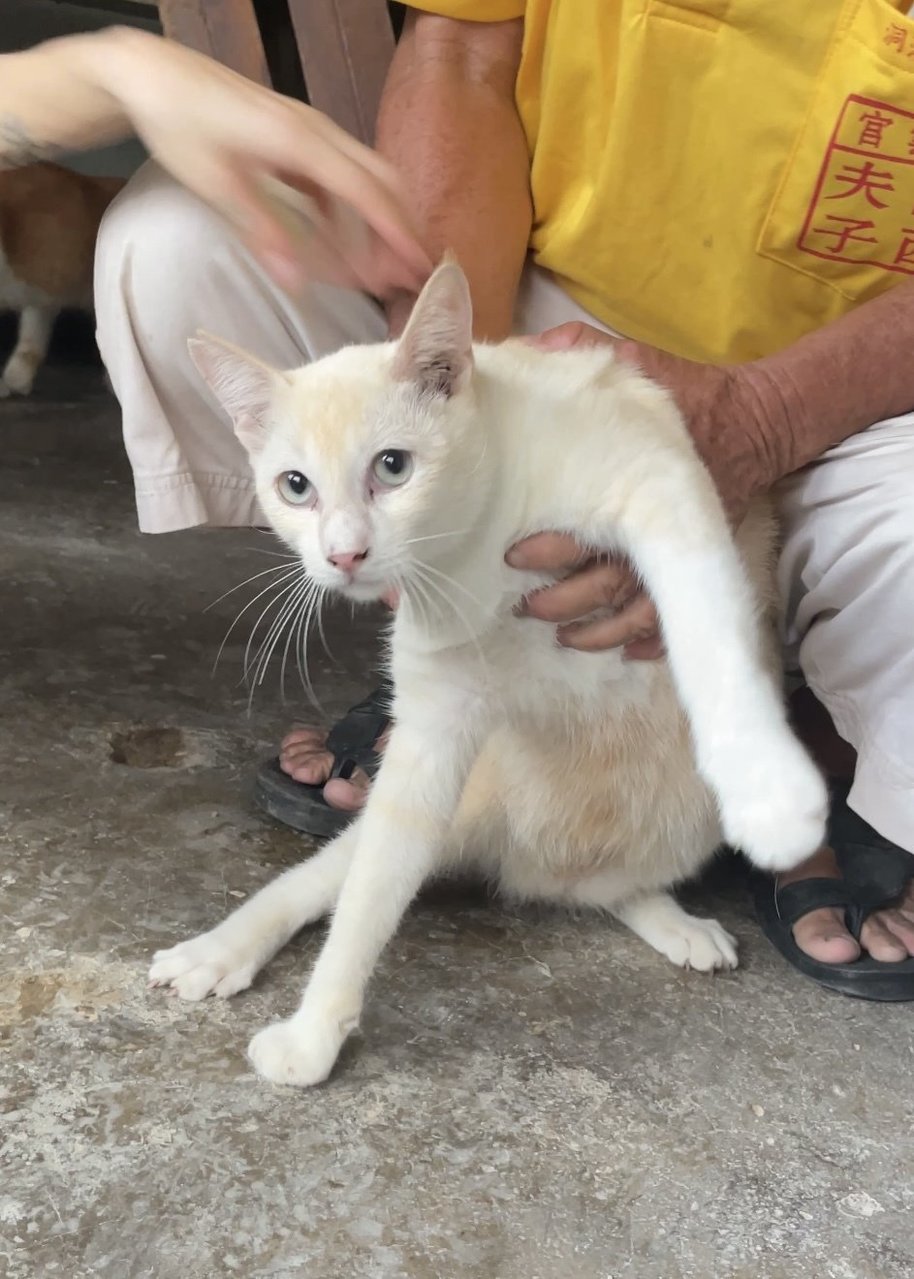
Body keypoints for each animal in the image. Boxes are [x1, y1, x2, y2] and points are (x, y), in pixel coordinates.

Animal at [150, 259, 828, 1089]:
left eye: (393, 466)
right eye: (295, 486)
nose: (343, 554)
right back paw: (219, 949)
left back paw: (669, 911)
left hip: (681, 816)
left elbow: (702, 610)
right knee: (333, 873)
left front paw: (768, 790)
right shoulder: (432, 729)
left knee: (603, 884)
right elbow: (368, 894)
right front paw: (317, 1031)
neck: (471, 548)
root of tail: (528, 850)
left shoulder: (657, 474)